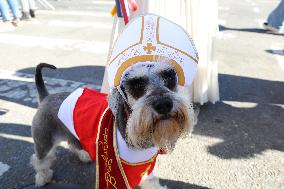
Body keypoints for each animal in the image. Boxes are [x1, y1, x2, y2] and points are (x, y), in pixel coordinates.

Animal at [31, 61, 195, 188]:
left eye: (170, 77)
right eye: (136, 84)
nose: (164, 104)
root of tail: (46, 97)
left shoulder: (146, 167)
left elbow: (152, 182)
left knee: (73, 144)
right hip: (44, 141)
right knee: (40, 161)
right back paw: (42, 178)